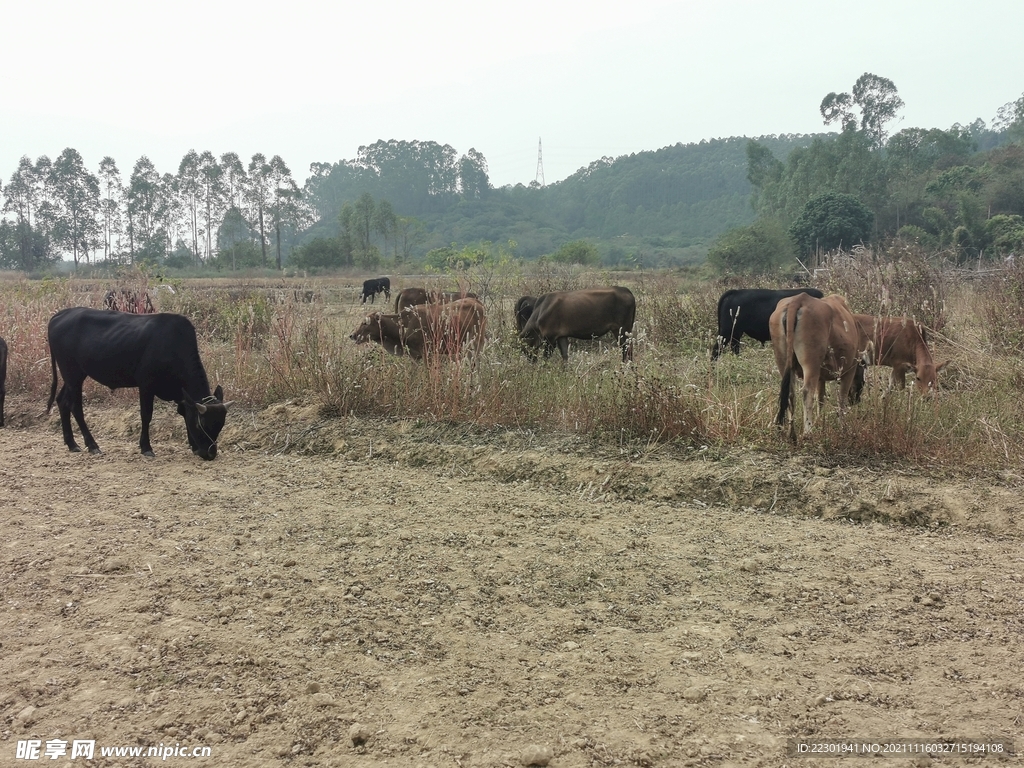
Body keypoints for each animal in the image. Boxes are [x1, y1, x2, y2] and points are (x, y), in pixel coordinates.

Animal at [47, 309, 230, 462]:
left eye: (221, 425)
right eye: (202, 425)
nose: (210, 454)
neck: (173, 345)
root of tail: (61, 314)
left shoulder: (182, 396)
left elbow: (185, 415)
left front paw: (193, 446)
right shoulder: (146, 385)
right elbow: (146, 415)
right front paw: (146, 448)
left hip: (74, 377)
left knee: (62, 401)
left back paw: (72, 444)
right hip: (72, 375)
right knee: (75, 407)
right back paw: (92, 445)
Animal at [770, 292, 868, 438]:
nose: (856, 399)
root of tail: (799, 299)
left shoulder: (820, 377)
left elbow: (820, 399)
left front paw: (819, 422)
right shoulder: (849, 371)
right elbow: (841, 399)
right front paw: (842, 428)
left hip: (783, 360)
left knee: (790, 393)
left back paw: (791, 434)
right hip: (811, 364)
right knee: (806, 392)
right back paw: (808, 432)